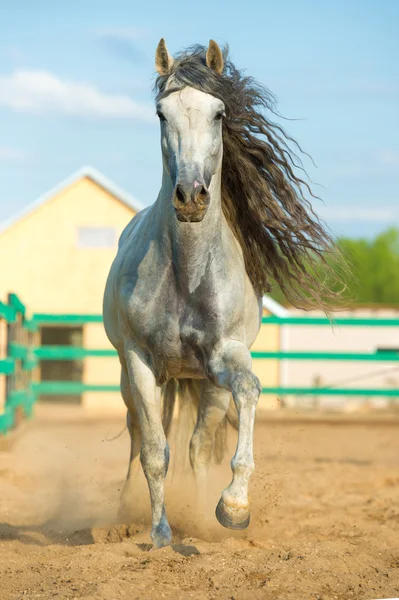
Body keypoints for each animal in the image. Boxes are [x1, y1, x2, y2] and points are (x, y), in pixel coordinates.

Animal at [104, 38, 338, 548]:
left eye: (218, 113)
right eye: (161, 114)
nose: (191, 195)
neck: (187, 274)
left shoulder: (226, 355)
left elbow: (249, 390)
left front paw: (233, 507)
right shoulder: (140, 361)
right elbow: (154, 452)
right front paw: (160, 534)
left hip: (208, 388)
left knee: (196, 444)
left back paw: (202, 508)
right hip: (130, 379)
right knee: (136, 435)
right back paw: (125, 513)